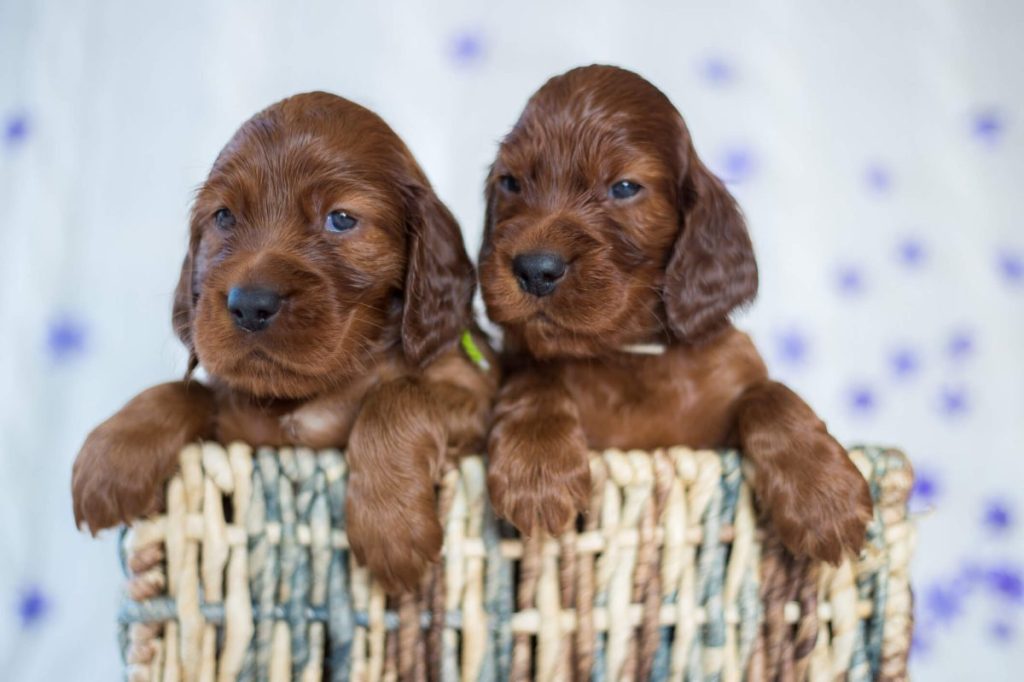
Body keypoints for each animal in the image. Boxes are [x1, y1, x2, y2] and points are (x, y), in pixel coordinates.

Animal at [71, 91, 495, 589]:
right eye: (224, 216)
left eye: (341, 219)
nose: (249, 304)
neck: (310, 394)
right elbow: (184, 390)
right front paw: (112, 457)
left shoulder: (478, 394)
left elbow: (397, 394)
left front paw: (392, 527)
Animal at [479, 65, 872, 561]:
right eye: (511, 182)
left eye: (624, 187)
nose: (534, 269)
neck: (628, 357)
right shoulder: (520, 361)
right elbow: (532, 374)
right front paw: (536, 472)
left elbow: (770, 394)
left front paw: (824, 497)